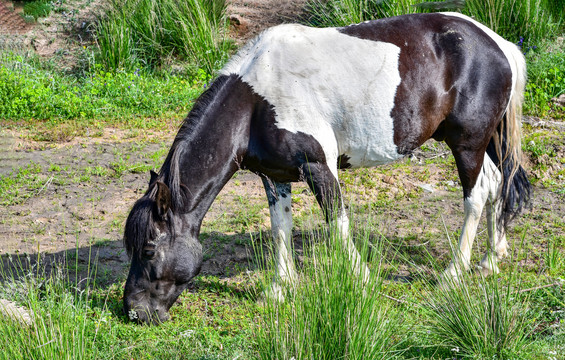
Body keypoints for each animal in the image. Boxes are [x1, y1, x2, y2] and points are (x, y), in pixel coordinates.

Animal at [121, 12, 532, 324]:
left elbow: (337, 221)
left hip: (467, 144)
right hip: (488, 142)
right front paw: (279, 287)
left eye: (149, 251)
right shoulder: (275, 176)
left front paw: (361, 280)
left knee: (476, 195)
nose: (135, 312)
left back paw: (454, 273)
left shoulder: (319, 167)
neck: (256, 101)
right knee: (499, 183)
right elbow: (280, 227)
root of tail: (498, 43)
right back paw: (491, 259)